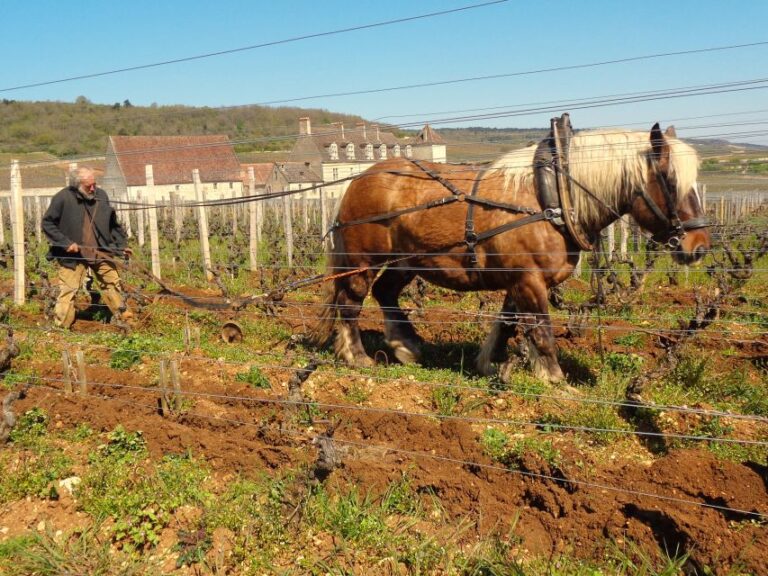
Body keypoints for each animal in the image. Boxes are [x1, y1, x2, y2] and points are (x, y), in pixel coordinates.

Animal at [308, 121, 712, 382]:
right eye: (669, 181)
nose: (699, 246)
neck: (553, 198)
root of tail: (359, 179)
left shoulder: (520, 281)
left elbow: (507, 324)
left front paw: (491, 363)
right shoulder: (530, 281)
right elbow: (543, 332)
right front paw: (555, 381)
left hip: (407, 261)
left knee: (385, 292)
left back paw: (405, 345)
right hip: (361, 261)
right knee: (350, 302)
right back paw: (356, 356)